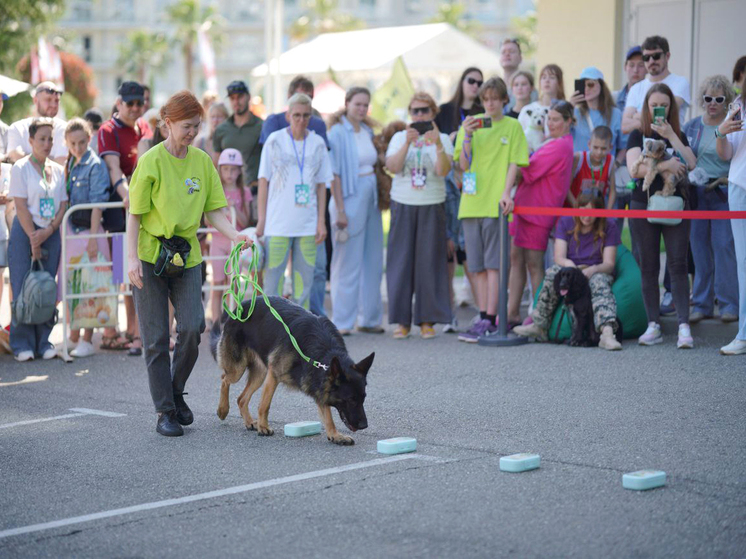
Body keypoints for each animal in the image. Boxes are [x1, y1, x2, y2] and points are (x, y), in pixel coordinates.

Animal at [209, 298, 372, 446]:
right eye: (351, 399)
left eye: (363, 398)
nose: (364, 425)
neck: (320, 353)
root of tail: (239, 307)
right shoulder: (274, 374)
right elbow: (265, 405)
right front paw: (263, 427)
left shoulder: (320, 383)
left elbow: (328, 417)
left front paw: (335, 435)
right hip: (238, 368)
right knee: (224, 379)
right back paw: (223, 409)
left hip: (260, 374)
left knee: (241, 399)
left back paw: (249, 421)